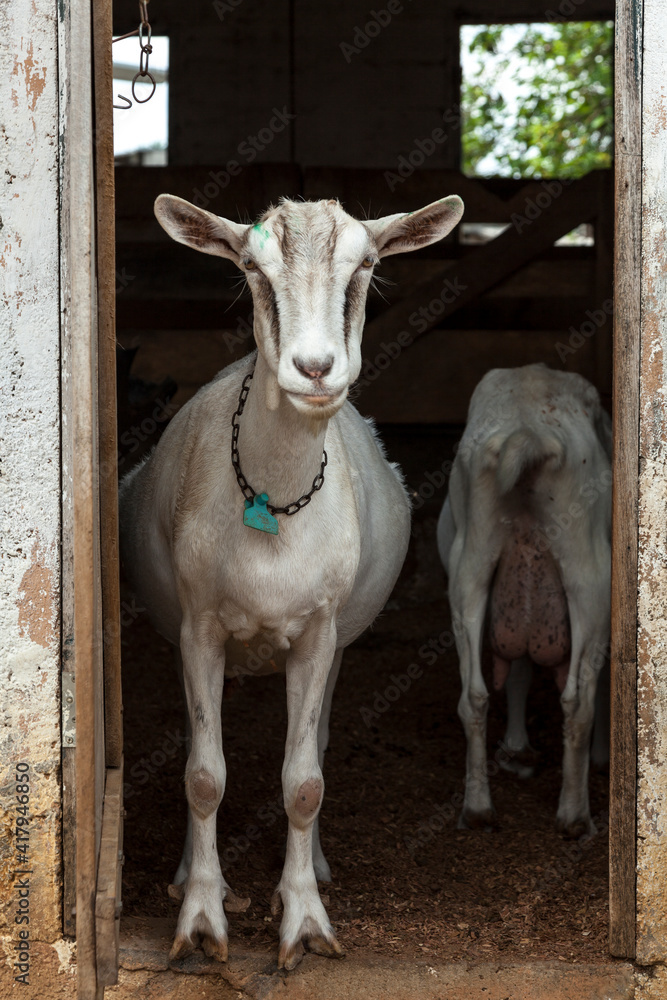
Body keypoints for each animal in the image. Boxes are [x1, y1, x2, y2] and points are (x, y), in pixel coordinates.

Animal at [119, 193, 464, 968]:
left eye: (366, 266)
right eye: (252, 268)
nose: (314, 368)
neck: (272, 498)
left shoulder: (317, 633)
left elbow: (304, 782)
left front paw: (304, 919)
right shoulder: (199, 628)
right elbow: (204, 775)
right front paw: (201, 919)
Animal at [437, 364, 611, 838]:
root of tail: (527, 430)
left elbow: (516, 671)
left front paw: (516, 750)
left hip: (471, 566)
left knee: (474, 696)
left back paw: (478, 808)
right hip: (588, 577)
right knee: (578, 703)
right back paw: (575, 816)